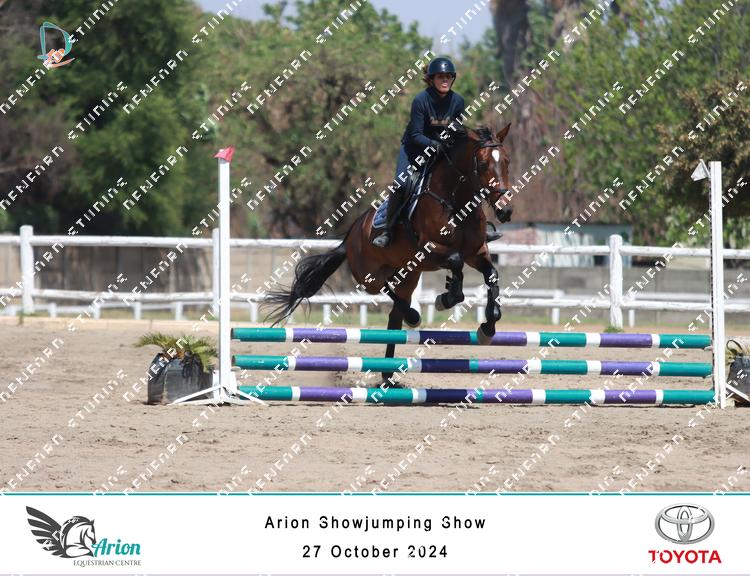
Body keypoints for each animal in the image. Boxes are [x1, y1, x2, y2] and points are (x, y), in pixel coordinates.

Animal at [265, 124, 513, 384]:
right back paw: (412, 317)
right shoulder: (428, 250)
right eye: (483, 164)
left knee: (395, 313)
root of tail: (350, 236)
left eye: (507, 161)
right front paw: (445, 299)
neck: (457, 201)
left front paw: (488, 326)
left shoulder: (476, 252)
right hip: (369, 275)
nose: (505, 210)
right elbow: (455, 263)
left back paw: (388, 373)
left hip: (408, 275)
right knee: (386, 290)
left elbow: (491, 274)